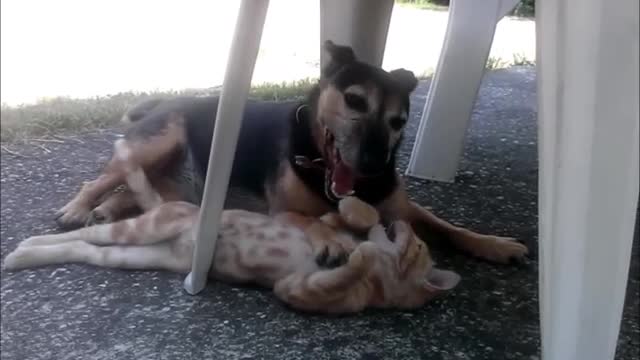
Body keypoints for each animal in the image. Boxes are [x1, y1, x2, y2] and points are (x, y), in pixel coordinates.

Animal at [1, 139, 460, 314]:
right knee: (84, 233)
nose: (405, 229)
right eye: (421, 246)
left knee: (86, 248)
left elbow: (344, 268)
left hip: (136, 251)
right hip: (141, 231)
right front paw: (360, 222)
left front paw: (361, 254)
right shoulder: (324, 220)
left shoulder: (299, 290)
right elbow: (351, 215)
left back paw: (22, 255)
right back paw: (27, 245)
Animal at [53, 40, 524, 264]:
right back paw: (78, 208)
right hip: (160, 142)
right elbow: (307, 219)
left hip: (176, 186)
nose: (372, 166)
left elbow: (447, 225)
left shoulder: (403, 209)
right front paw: (329, 238)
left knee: (131, 189)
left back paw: (106, 210)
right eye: (354, 100)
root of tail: (163, 102)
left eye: (399, 121)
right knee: (102, 177)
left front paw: (493, 244)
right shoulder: (282, 211)